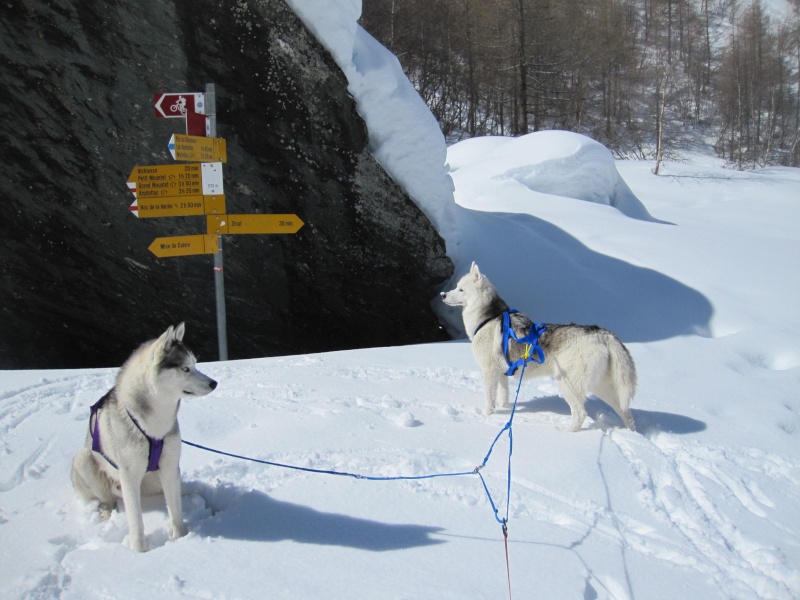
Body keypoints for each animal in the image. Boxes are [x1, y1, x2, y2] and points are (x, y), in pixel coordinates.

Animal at [70, 324, 216, 552]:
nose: (214, 383)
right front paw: (139, 551)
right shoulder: (129, 474)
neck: (154, 427)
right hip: (84, 461)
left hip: (157, 479)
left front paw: (181, 537)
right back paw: (106, 513)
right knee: (107, 499)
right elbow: (136, 519)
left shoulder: (169, 467)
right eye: (185, 369)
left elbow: (175, 509)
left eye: (195, 365)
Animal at [440, 264, 636, 432]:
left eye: (461, 290)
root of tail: (601, 333)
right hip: (604, 388)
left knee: (580, 414)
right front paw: (504, 410)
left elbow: (489, 400)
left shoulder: (489, 372)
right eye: (456, 287)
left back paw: (567, 432)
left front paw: (486, 417)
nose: (442, 294)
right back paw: (631, 432)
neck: (488, 318)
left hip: (567, 383)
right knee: (625, 412)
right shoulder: (501, 373)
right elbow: (503, 397)